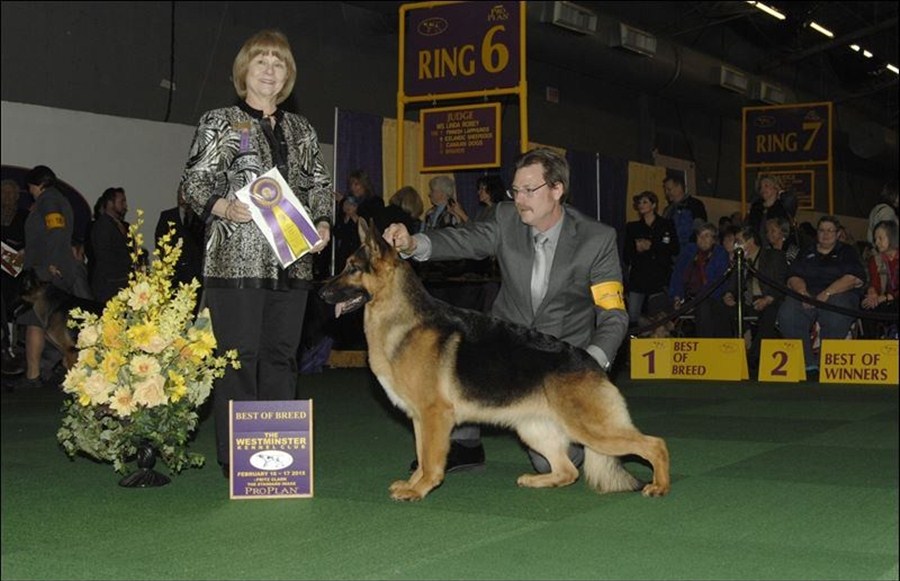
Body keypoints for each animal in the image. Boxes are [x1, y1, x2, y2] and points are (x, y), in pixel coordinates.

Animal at [320, 220, 672, 500]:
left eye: (352, 268)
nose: (321, 293)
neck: (402, 319)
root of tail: (591, 361)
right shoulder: (421, 419)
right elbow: (421, 454)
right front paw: (413, 483)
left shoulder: (434, 416)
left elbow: (431, 459)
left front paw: (419, 489)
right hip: (535, 430)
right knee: (567, 471)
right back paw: (537, 480)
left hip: (591, 429)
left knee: (655, 444)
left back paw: (659, 486)